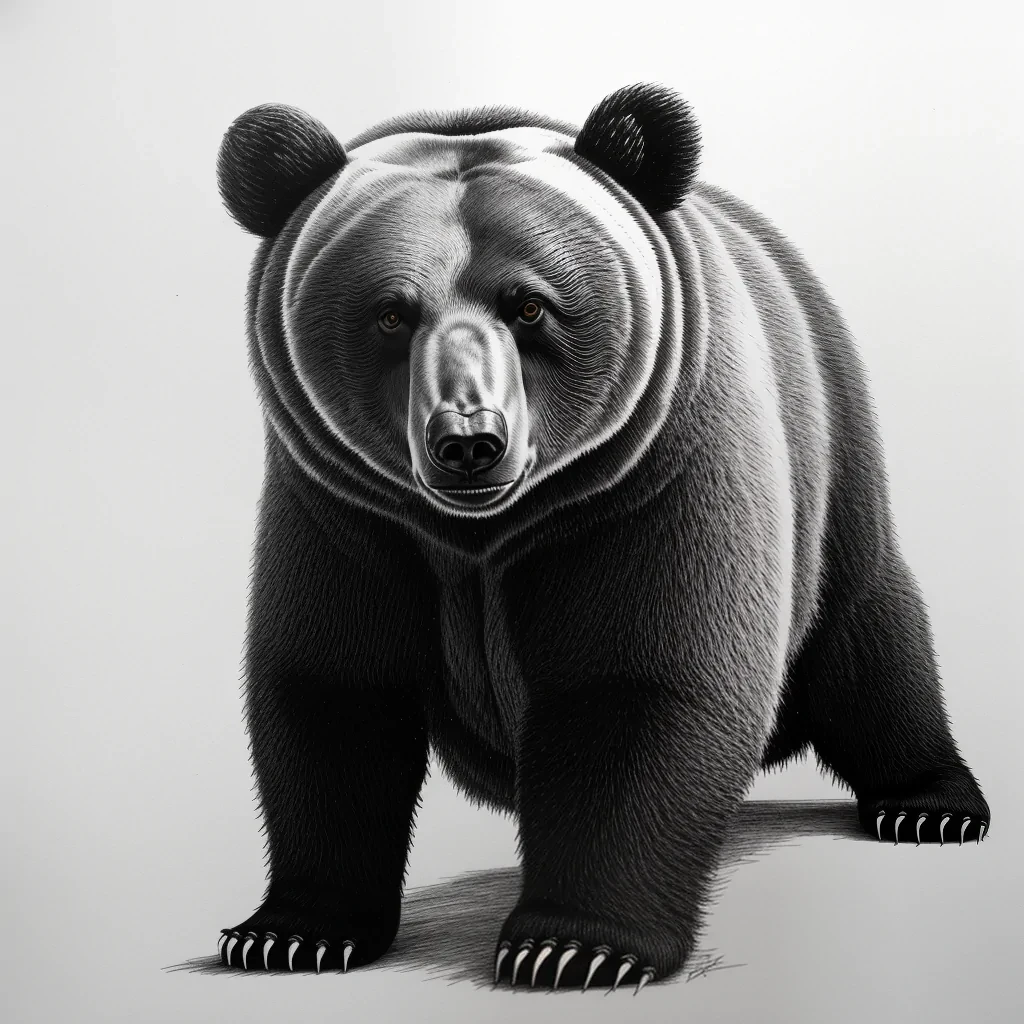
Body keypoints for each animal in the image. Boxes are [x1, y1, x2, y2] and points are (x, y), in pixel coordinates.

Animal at [213, 83, 990, 991]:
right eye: (390, 314)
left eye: (529, 305)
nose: (469, 441)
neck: (478, 534)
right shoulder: (344, 510)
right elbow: (333, 690)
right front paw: (289, 933)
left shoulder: (653, 474)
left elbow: (638, 681)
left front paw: (570, 946)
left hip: (832, 457)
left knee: (867, 638)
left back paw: (930, 804)